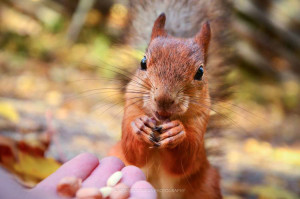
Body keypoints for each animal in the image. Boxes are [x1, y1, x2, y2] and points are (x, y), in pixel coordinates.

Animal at [109, 0, 231, 198]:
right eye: (143, 62)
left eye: (200, 72)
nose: (163, 99)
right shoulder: (131, 108)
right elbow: (132, 153)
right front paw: (139, 126)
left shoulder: (200, 121)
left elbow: (185, 160)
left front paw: (176, 133)